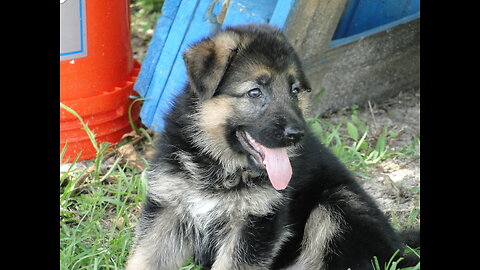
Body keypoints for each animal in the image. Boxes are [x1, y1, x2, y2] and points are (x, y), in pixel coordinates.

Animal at [126, 24, 416, 268]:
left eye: (294, 91)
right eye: (255, 92)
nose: (297, 134)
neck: (219, 165)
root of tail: (400, 252)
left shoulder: (254, 225)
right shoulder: (168, 211)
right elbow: (144, 260)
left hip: (338, 207)